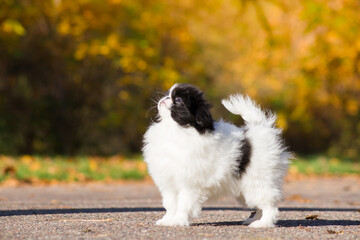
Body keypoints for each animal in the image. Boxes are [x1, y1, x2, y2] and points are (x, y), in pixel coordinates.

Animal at [142, 83, 292, 228]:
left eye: (178, 100)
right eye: (167, 94)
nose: (165, 98)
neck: (174, 129)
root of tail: (261, 128)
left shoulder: (189, 184)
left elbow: (183, 204)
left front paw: (178, 221)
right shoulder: (169, 183)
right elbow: (170, 204)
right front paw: (168, 220)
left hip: (259, 181)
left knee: (269, 205)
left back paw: (263, 223)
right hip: (245, 190)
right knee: (259, 205)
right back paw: (254, 220)